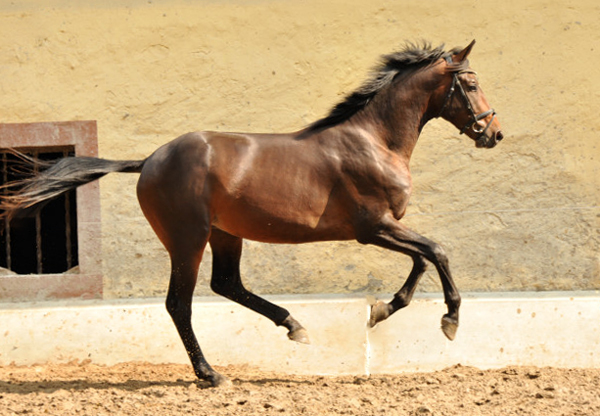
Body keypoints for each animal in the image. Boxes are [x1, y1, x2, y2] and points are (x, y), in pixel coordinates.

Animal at [1, 39, 502, 386]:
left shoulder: (384, 228)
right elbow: (436, 251)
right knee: (179, 303)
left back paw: (295, 326)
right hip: (188, 239)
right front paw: (450, 322)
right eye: (472, 84)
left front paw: (381, 310)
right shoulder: (373, 226)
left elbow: (422, 259)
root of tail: (149, 161)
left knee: (227, 284)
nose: (493, 133)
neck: (374, 141)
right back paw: (211, 374)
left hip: (226, 234)